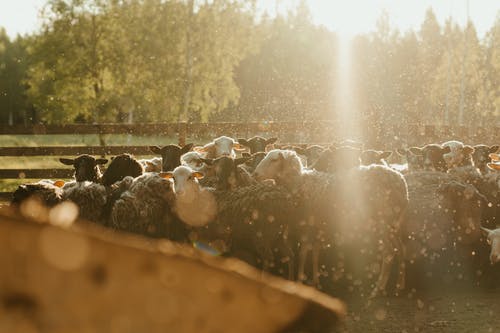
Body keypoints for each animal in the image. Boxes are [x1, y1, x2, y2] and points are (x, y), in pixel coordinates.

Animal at [256, 148, 408, 296]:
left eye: (274, 160)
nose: (255, 174)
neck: (299, 184)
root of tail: (400, 182)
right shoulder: (318, 226)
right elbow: (315, 252)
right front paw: (315, 281)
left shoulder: (307, 225)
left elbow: (303, 252)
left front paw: (299, 281)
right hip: (393, 223)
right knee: (400, 249)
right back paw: (399, 285)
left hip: (383, 222)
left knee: (389, 252)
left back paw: (378, 289)